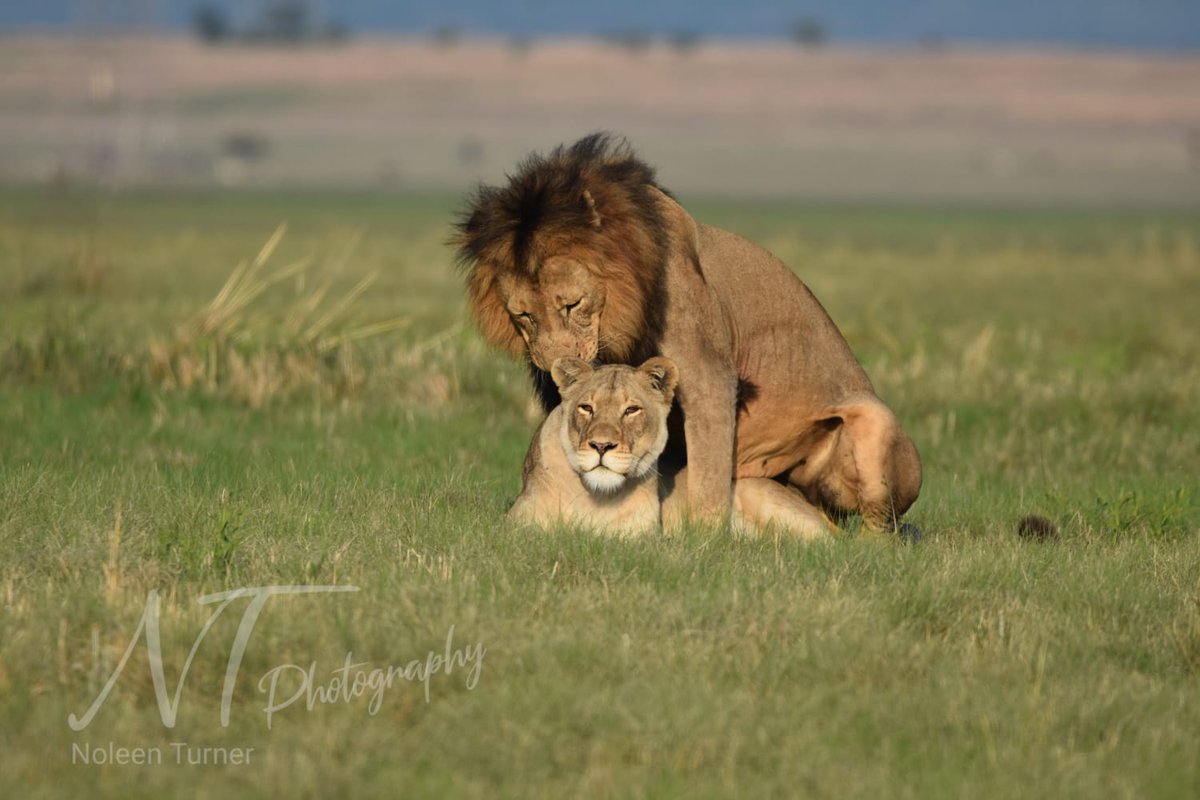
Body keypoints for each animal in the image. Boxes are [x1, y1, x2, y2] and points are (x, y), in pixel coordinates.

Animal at [508, 356, 833, 540]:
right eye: (586, 407)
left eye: (631, 410)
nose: (601, 445)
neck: (597, 497)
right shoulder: (517, 524)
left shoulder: (642, 537)